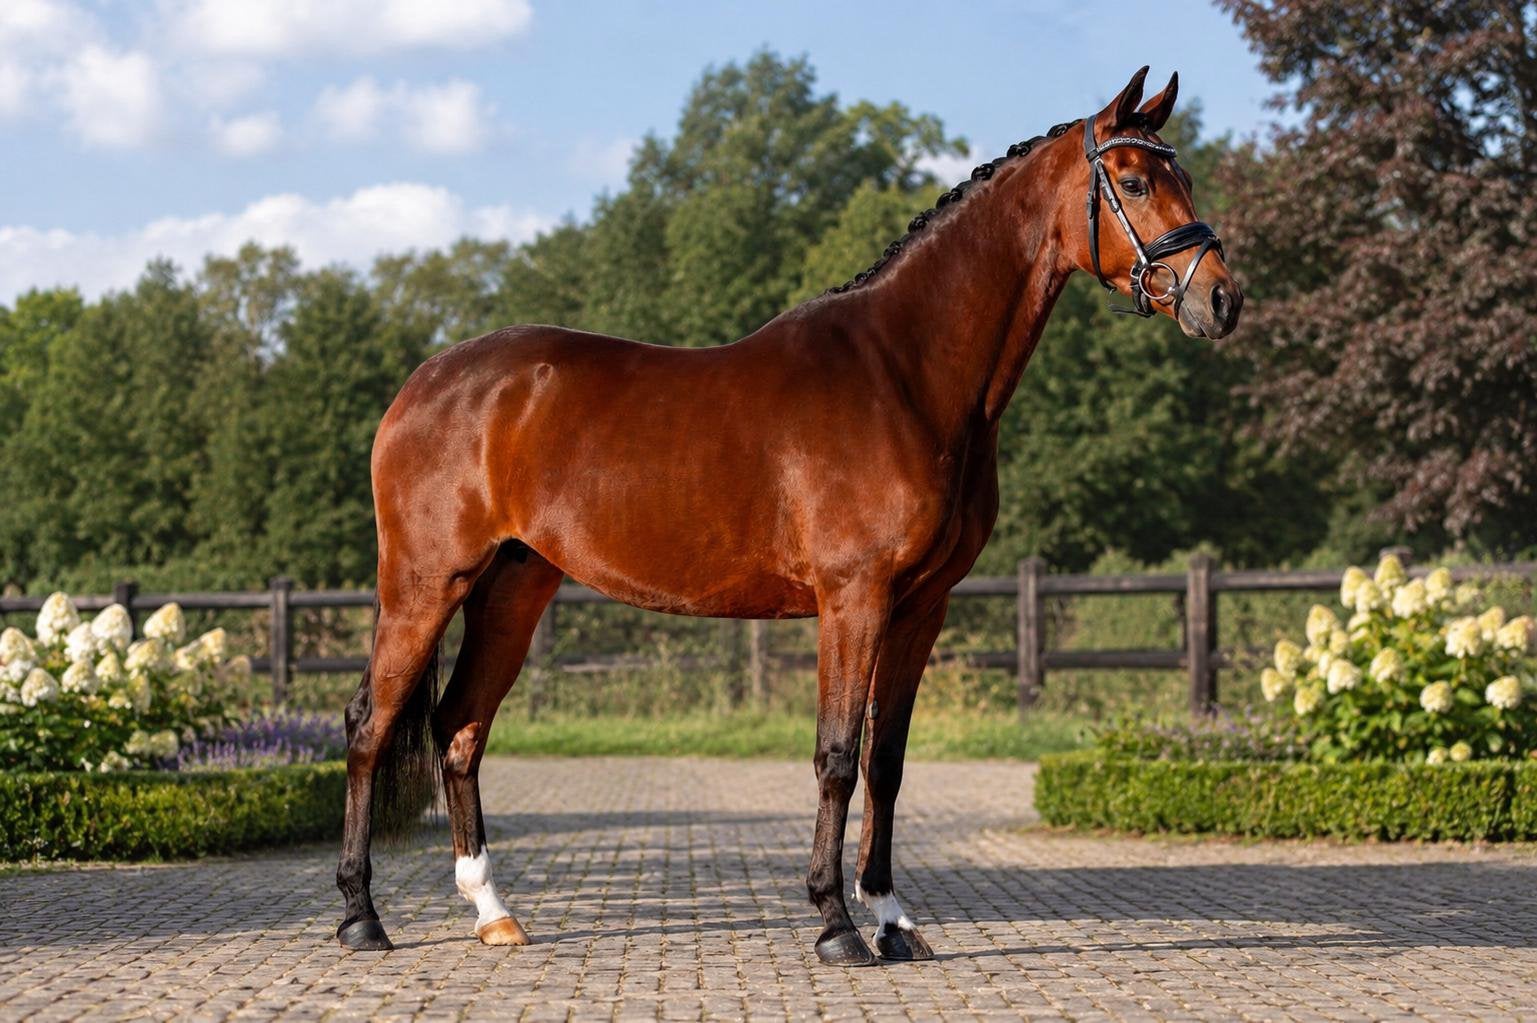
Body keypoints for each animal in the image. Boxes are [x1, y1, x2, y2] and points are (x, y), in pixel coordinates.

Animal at [335, 66, 1242, 966]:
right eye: (1133, 181)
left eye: (1186, 179)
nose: (1221, 298)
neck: (904, 374)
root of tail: (425, 382)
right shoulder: (853, 597)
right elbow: (836, 756)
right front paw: (835, 922)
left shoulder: (921, 605)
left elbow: (886, 759)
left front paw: (890, 918)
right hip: (425, 583)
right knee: (370, 725)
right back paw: (361, 916)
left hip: (514, 588)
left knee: (459, 726)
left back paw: (492, 910)